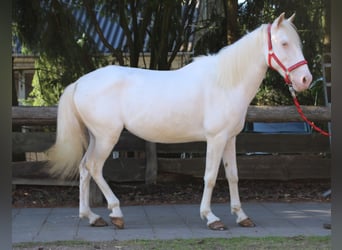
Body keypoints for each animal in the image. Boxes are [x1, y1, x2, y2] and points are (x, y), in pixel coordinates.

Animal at [48, 12, 312, 229]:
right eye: (284, 43)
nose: (305, 80)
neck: (225, 82)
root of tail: (79, 82)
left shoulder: (230, 139)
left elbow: (233, 176)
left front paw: (241, 216)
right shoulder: (215, 139)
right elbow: (210, 177)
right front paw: (211, 218)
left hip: (96, 137)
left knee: (84, 168)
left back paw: (92, 217)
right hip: (106, 137)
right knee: (94, 167)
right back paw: (116, 213)